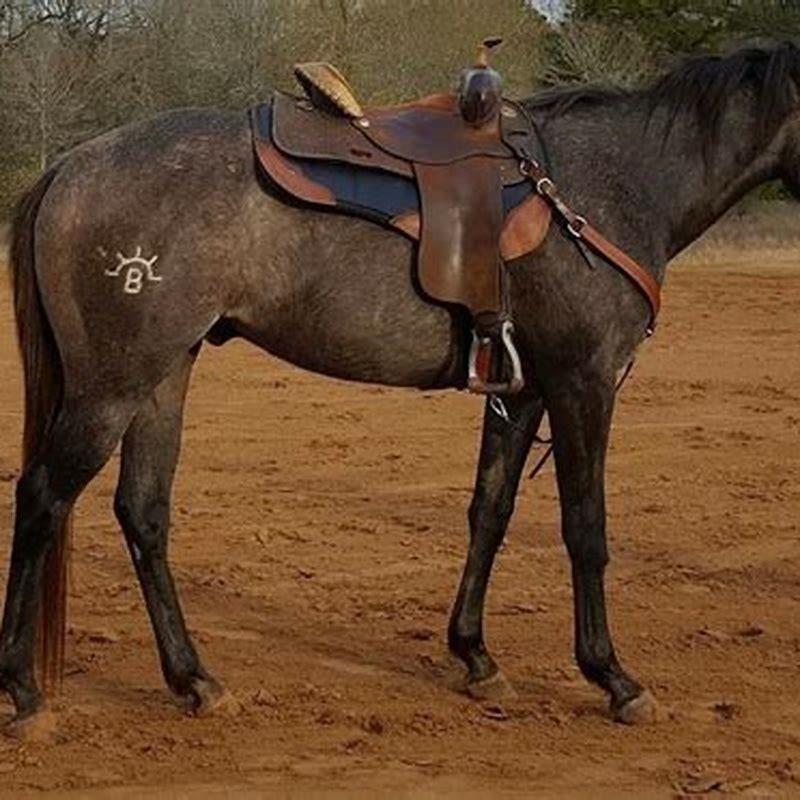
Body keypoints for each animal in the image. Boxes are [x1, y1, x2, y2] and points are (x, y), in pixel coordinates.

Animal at [2, 42, 799, 738]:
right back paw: (25, 693)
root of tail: (70, 166)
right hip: (111, 388)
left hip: (164, 373)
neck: (618, 183)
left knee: (143, 512)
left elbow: (490, 512)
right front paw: (613, 677)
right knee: (42, 498)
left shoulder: (524, 391)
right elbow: (586, 529)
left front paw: (476, 656)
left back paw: (194, 680)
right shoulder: (585, 382)